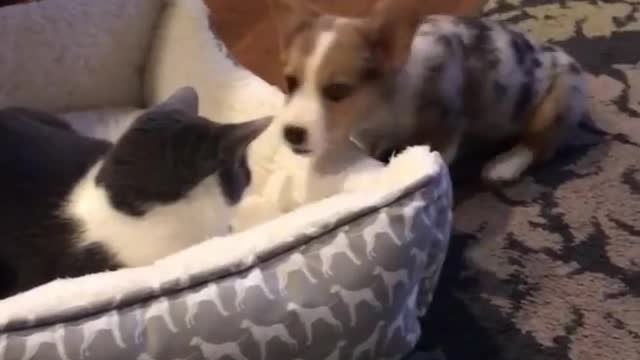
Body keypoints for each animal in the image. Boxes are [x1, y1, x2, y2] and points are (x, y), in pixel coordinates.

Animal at [268, 0, 584, 181]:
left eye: (337, 91)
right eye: (291, 82)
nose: (291, 133)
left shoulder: (443, 133)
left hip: (557, 102)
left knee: (540, 145)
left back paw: (504, 166)